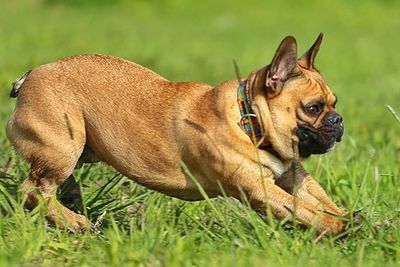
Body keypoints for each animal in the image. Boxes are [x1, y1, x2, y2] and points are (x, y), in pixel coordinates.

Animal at [4, 33, 346, 234]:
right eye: (313, 108)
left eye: (335, 103)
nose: (339, 120)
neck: (249, 119)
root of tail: (31, 74)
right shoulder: (259, 189)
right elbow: (306, 211)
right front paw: (340, 228)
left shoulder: (294, 177)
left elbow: (319, 201)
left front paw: (353, 219)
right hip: (63, 146)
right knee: (32, 190)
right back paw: (75, 222)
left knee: (46, 189)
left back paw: (71, 208)